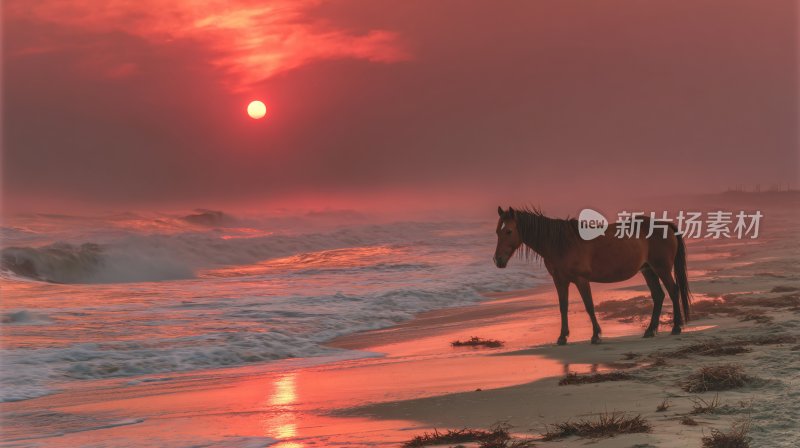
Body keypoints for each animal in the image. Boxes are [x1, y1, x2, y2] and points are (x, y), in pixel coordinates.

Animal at [493, 206, 690, 345]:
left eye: (508, 231)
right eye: (497, 231)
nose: (497, 260)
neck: (561, 243)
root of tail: (665, 225)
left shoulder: (581, 280)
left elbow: (589, 306)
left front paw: (596, 335)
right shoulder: (560, 281)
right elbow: (563, 307)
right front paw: (562, 337)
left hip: (661, 268)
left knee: (673, 291)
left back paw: (676, 327)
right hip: (648, 270)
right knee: (658, 295)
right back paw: (650, 330)